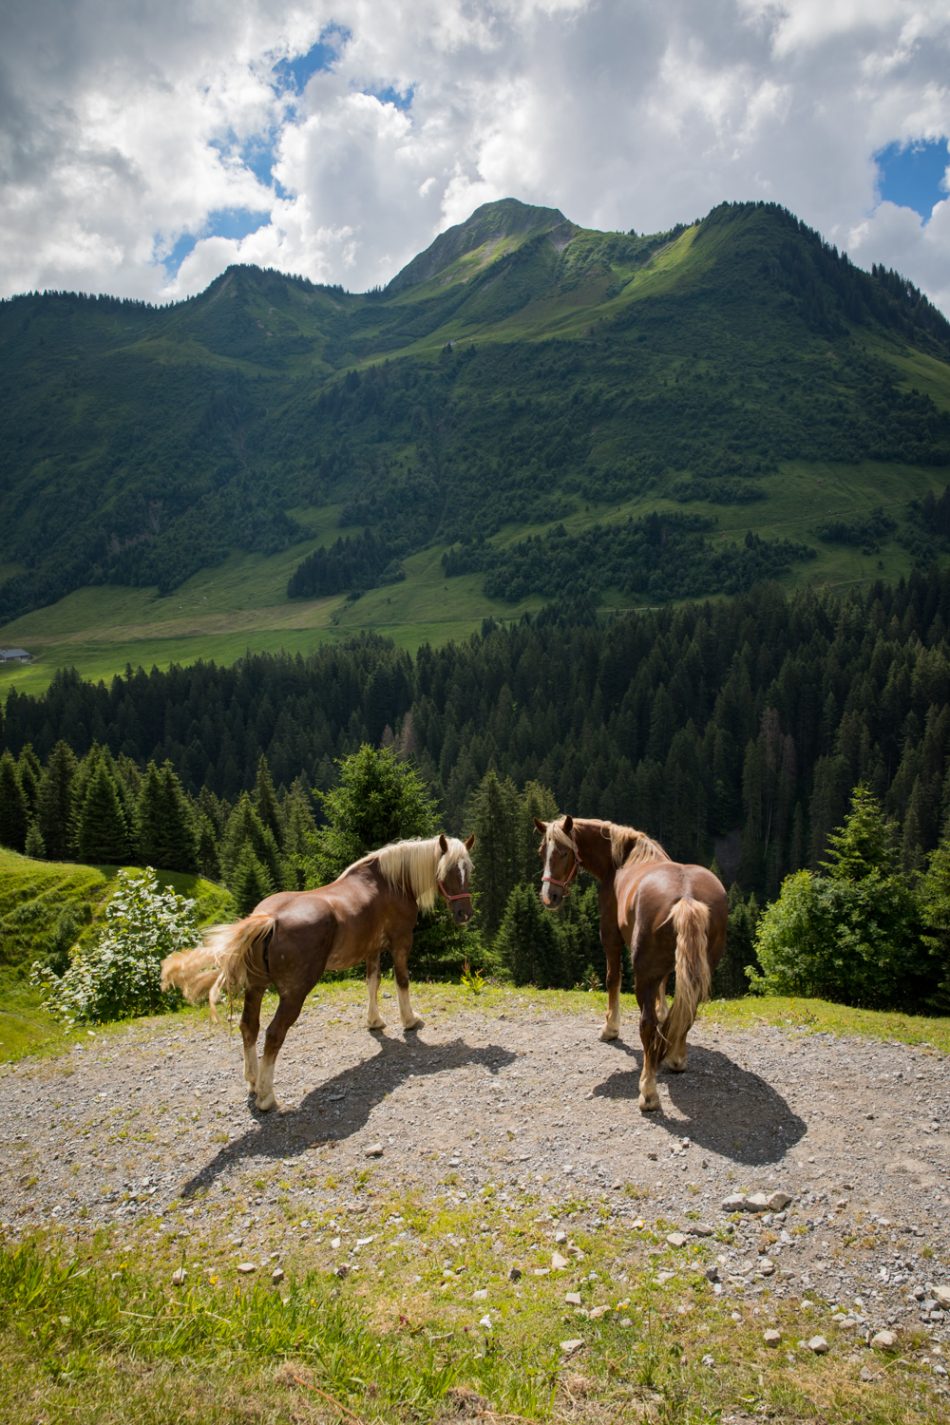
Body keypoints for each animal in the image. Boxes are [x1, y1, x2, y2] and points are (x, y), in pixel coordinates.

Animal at [163, 832, 478, 1111]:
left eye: (469, 870)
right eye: (449, 870)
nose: (464, 914)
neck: (390, 883)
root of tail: (269, 919)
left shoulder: (372, 949)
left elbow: (372, 982)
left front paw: (374, 1021)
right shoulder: (400, 942)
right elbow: (402, 981)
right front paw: (410, 1020)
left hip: (256, 987)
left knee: (248, 1026)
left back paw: (252, 1081)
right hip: (294, 994)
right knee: (273, 1034)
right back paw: (267, 1097)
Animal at [535, 815, 729, 1111]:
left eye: (565, 851)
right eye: (541, 852)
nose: (549, 897)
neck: (622, 859)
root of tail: (687, 898)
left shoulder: (610, 936)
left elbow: (612, 979)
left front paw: (610, 1028)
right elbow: (666, 993)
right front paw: (664, 1014)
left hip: (643, 975)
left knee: (647, 1025)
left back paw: (648, 1091)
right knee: (689, 1009)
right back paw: (676, 1057)